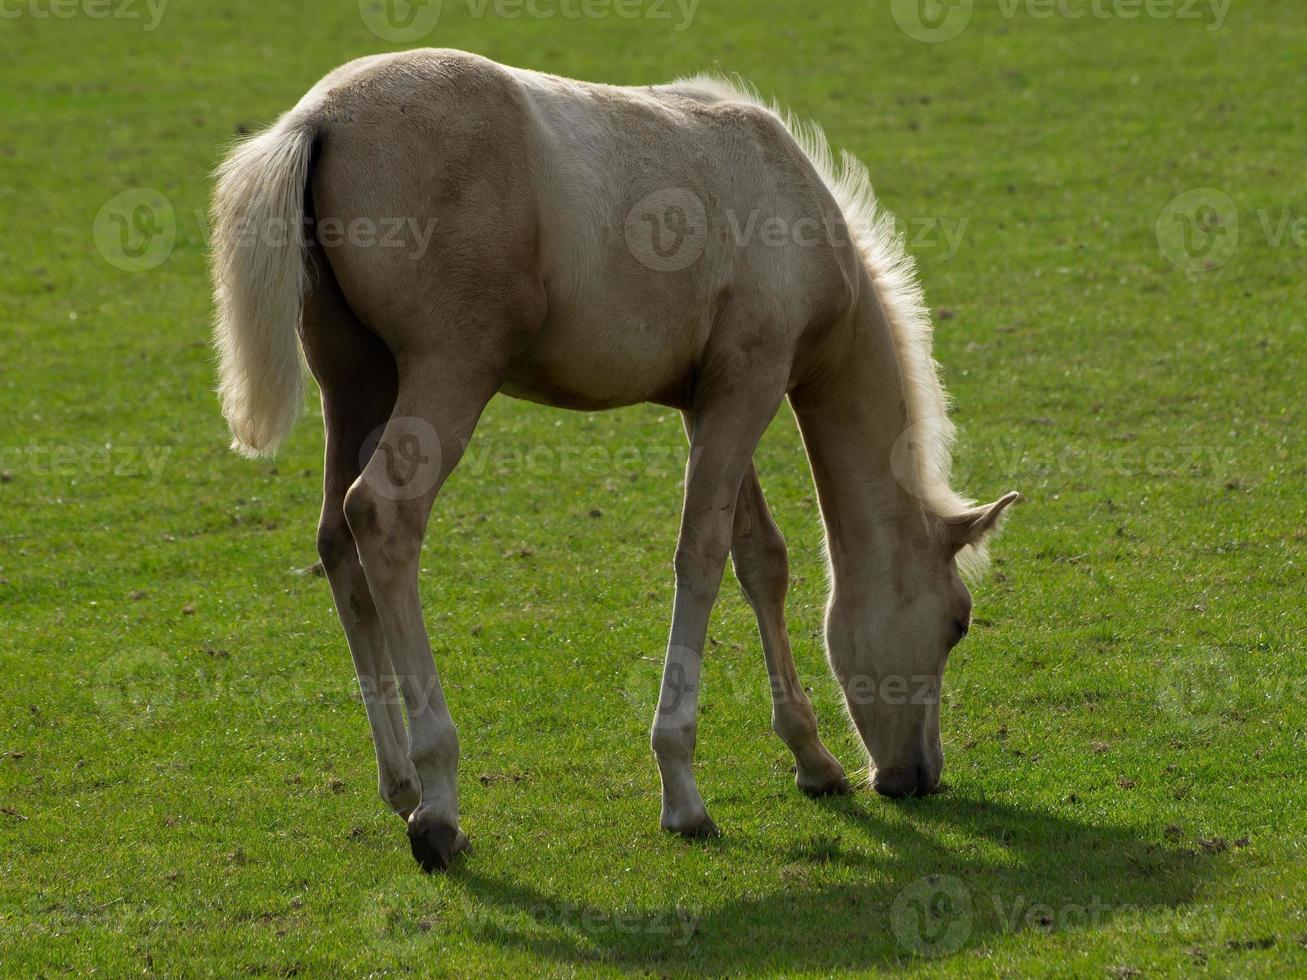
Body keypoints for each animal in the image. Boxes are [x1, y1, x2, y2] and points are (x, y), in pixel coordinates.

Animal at [209, 48, 1014, 872]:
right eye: (958, 622)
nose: (918, 776)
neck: (786, 199)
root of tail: (320, 117)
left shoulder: (712, 400)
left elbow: (760, 558)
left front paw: (812, 760)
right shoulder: (750, 387)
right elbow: (702, 557)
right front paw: (683, 791)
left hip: (354, 384)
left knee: (338, 540)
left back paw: (401, 782)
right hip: (449, 373)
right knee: (382, 516)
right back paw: (438, 806)